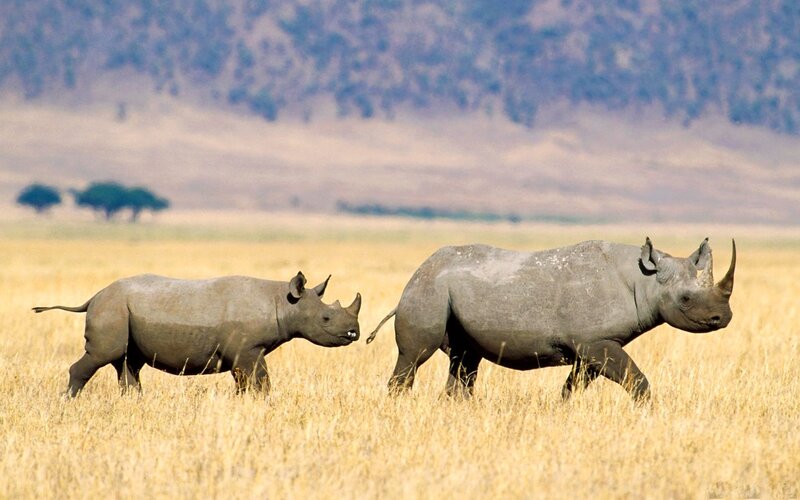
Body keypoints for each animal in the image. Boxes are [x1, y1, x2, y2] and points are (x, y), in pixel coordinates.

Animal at [34, 272, 361, 397]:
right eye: (326, 318)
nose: (354, 333)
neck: (283, 301)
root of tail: (95, 295)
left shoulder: (244, 352)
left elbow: (247, 382)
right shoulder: (248, 349)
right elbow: (260, 380)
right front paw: (262, 402)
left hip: (121, 310)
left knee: (128, 363)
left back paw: (134, 403)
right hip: (111, 309)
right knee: (102, 355)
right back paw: (68, 401)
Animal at [367, 237, 735, 401]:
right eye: (685, 300)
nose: (723, 317)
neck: (644, 280)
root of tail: (417, 273)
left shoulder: (594, 345)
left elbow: (574, 385)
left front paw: (563, 409)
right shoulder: (595, 342)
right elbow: (637, 380)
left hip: (446, 292)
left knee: (465, 358)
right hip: (426, 290)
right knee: (415, 356)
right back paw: (398, 405)